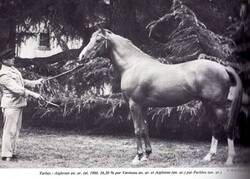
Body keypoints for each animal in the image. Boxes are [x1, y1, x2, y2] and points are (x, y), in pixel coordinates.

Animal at [79, 28, 242, 165]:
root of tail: (223, 68)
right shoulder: (143, 106)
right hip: (208, 105)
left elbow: (137, 129)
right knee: (215, 127)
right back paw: (209, 156)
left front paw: (138, 157)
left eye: (98, 40)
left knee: (227, 127)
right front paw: (146, 155)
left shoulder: (134, 105)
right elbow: (145, 128)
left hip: (217, 106)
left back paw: (229, 159)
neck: (132, 65)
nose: (81, 56)